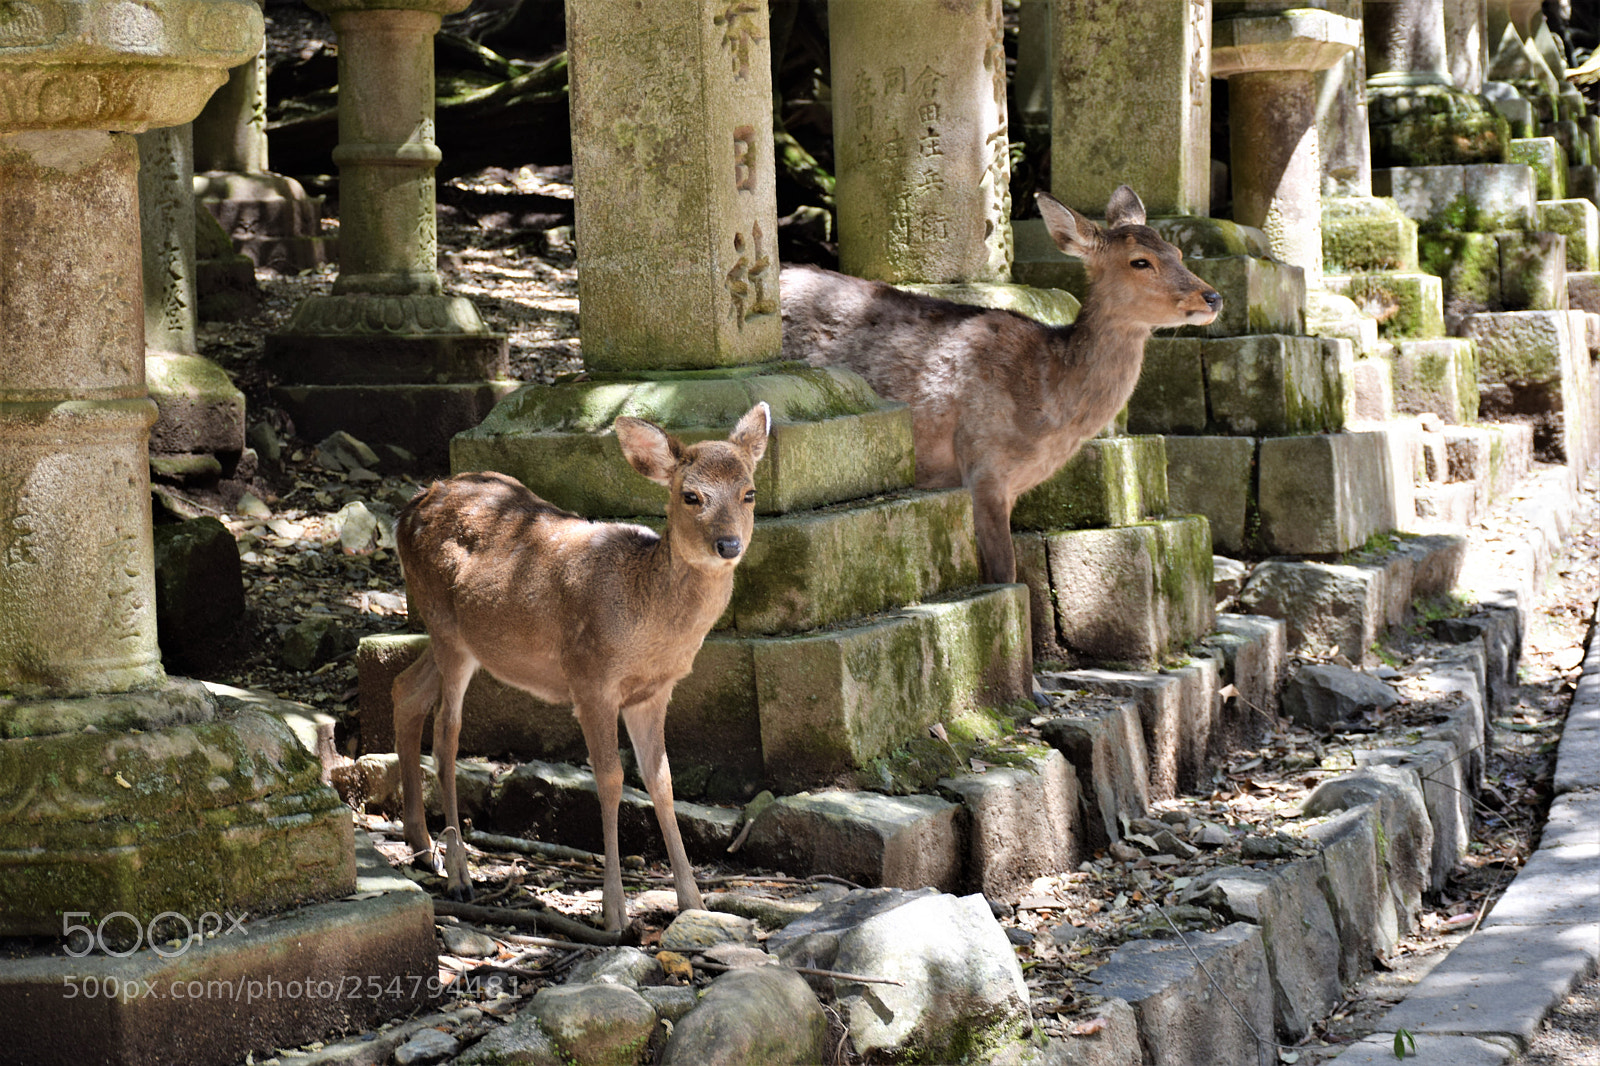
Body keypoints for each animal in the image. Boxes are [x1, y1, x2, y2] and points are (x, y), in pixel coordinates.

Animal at [391, 402, 771, 931]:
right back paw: (459, 875)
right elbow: (611, 779)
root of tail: (406, 511)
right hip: (447, 630)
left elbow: (662, 780)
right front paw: (615, 913)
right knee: (447, 735)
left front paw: (694, 902)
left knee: (405, 688)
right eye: (691, 495)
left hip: (458, 637)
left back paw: (422, 845)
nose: (729, 544)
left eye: (749, 492)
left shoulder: (654, 692)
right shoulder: (591, 678)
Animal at [781, 186, 1222, 585]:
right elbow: (1006, 578)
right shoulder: (982, 464)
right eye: (1140, 262)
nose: (1212, 297)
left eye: (1178, 253)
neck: (1047, 405)